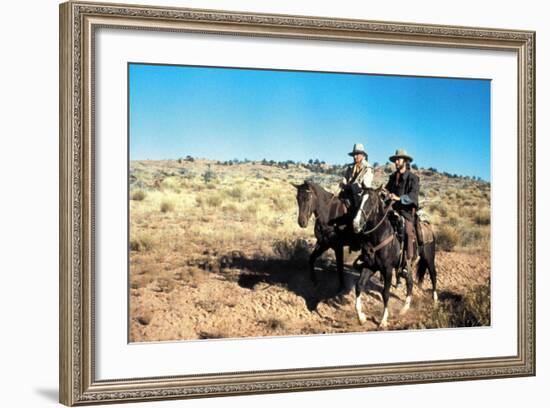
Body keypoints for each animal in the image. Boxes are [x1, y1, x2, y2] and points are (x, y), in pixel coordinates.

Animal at [352, 186, 438, 330]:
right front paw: (361, 317)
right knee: (410, 282)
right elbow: (359, 286)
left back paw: (435, 298)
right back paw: (405, 308)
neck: (379, 235)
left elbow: (385, 293)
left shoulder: (387, 269)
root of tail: (428, 226)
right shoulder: (369, 266)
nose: (356, 224)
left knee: (433, 275)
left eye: (372, 202)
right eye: (359, 200)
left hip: (429, 258)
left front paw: (383, 320)